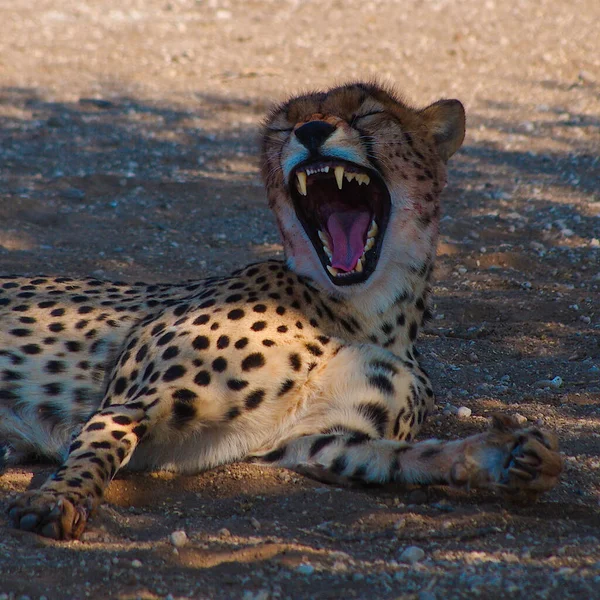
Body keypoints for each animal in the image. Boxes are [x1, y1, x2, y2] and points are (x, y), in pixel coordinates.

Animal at [2, 81, 560, 540]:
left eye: (368, 113)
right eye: (284, 125)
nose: (311, 131)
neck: (363, 311)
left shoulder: (315, 440)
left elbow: (409, 456)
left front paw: (507, 455)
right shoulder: (130, 401)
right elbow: (100, 445)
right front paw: (57, 499)